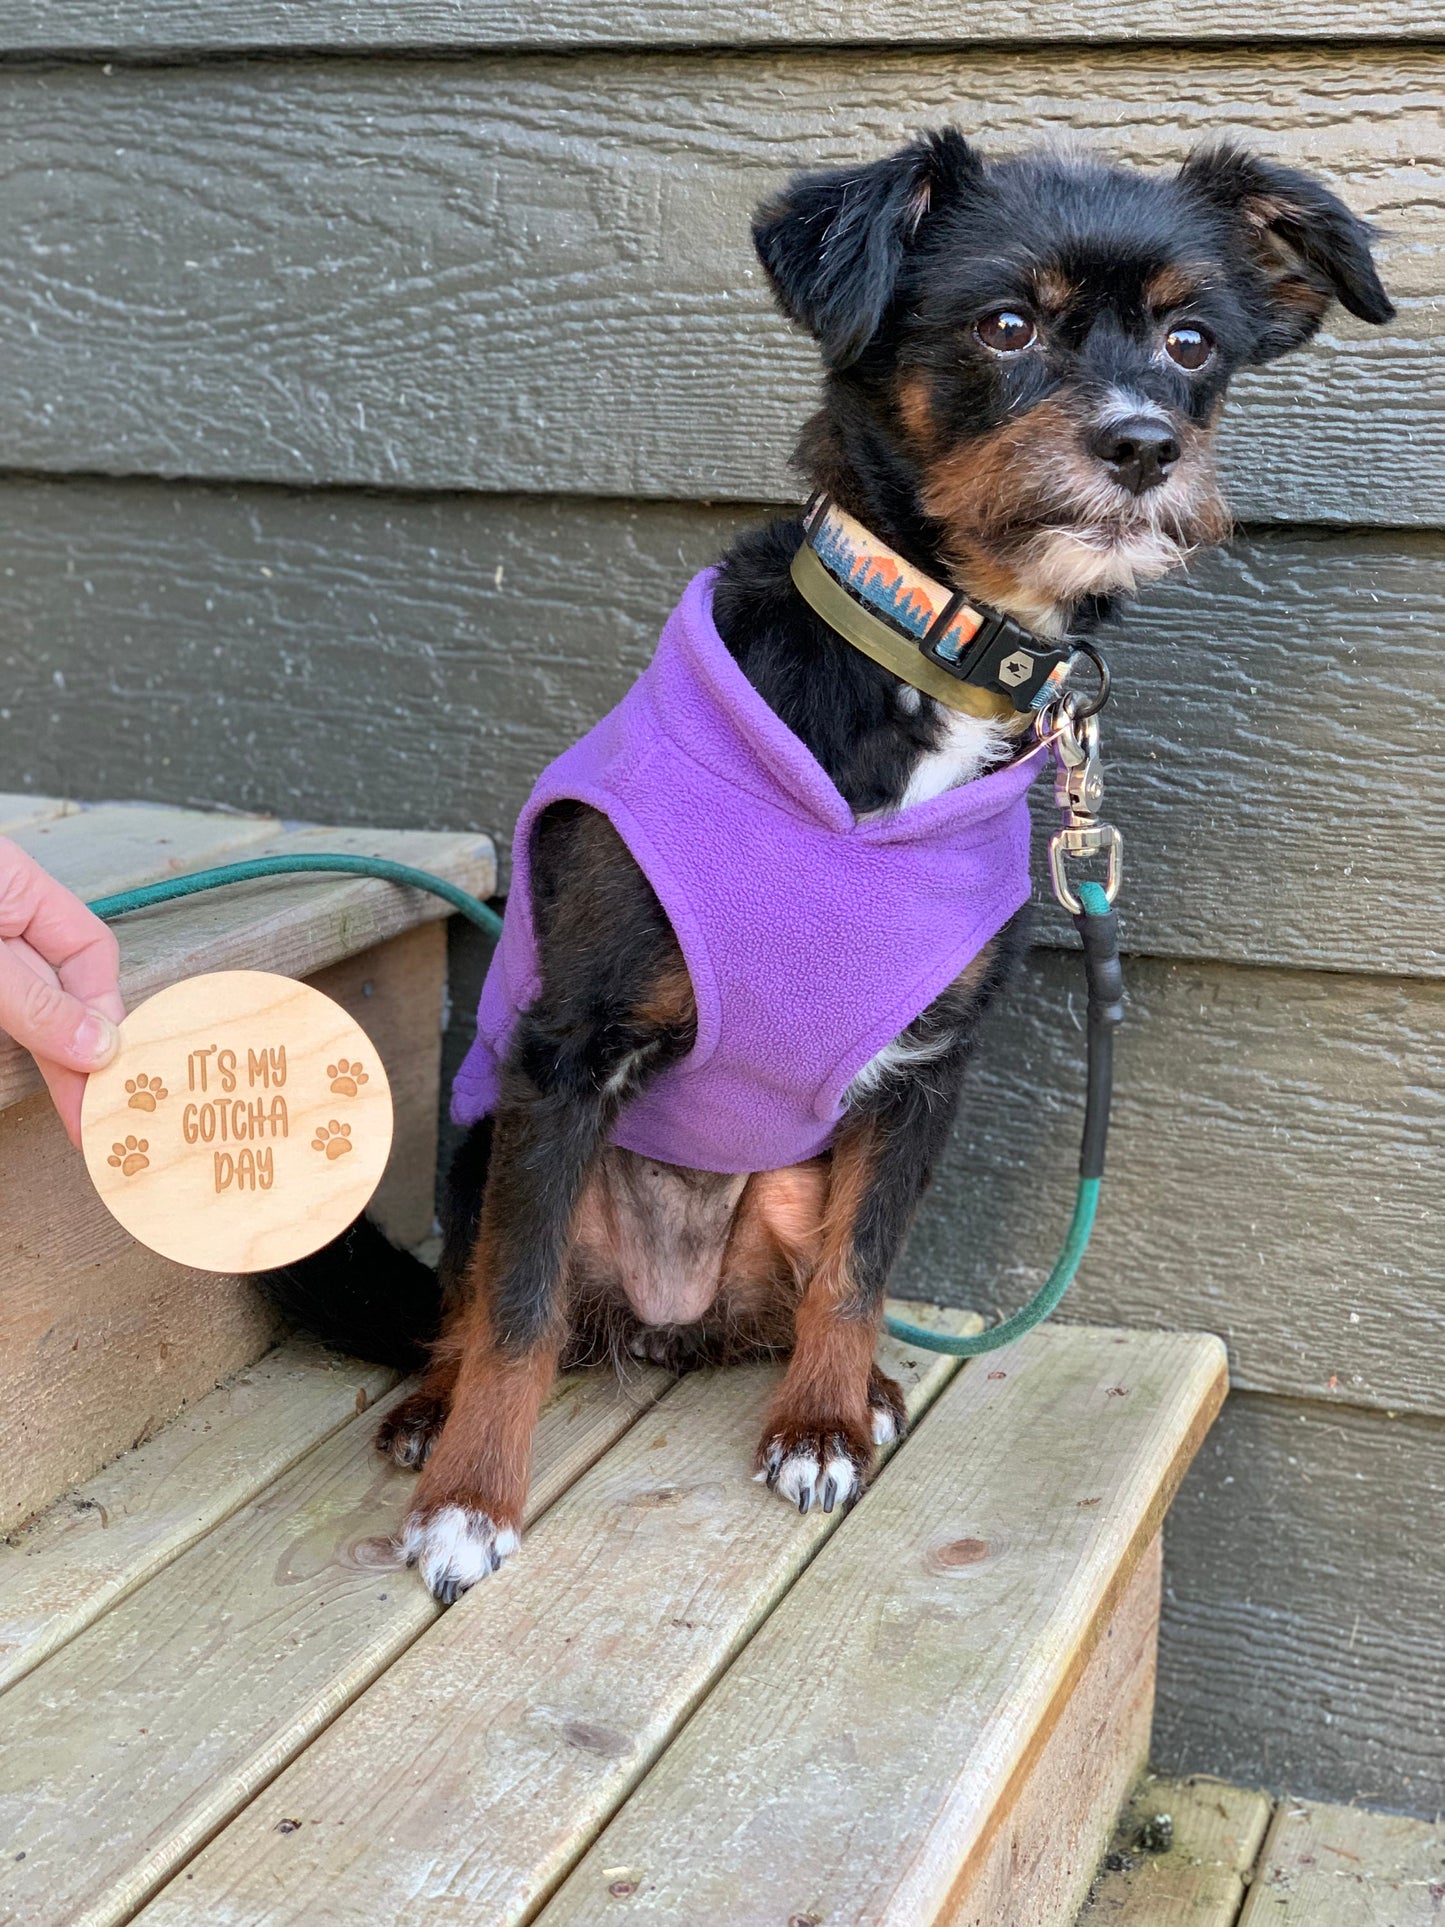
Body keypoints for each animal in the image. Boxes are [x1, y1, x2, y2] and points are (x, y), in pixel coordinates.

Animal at [269, 135, 1394, 1603]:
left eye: (1190, 342)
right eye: (1006, 324)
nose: (1145, 445)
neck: (930, 657)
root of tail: (665, 1321)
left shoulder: (923, 1072)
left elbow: (859, 1275)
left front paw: (820, 1422)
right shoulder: (561, 1059)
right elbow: (514, 1313)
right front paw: (470, 1505)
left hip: (787, 1188)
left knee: (797, 1287)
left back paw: (852, 1388)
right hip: (478, 1149)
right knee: (486, 1299)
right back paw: (430, 1410)